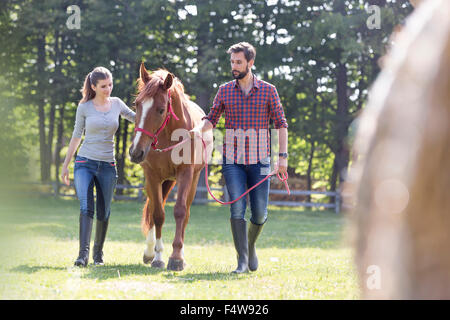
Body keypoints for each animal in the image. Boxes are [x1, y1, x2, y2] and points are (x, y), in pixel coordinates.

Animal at [129, 63, 212, 272]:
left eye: (160, 110)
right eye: (137, 104)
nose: (135, 152)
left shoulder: (185, 174)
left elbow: (180, 212)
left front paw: (176, 258)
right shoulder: (152, 176)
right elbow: (157, 214)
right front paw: (157, 256)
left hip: (192, 180)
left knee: (186, 214)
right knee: (152, 210)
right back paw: (149, 252)